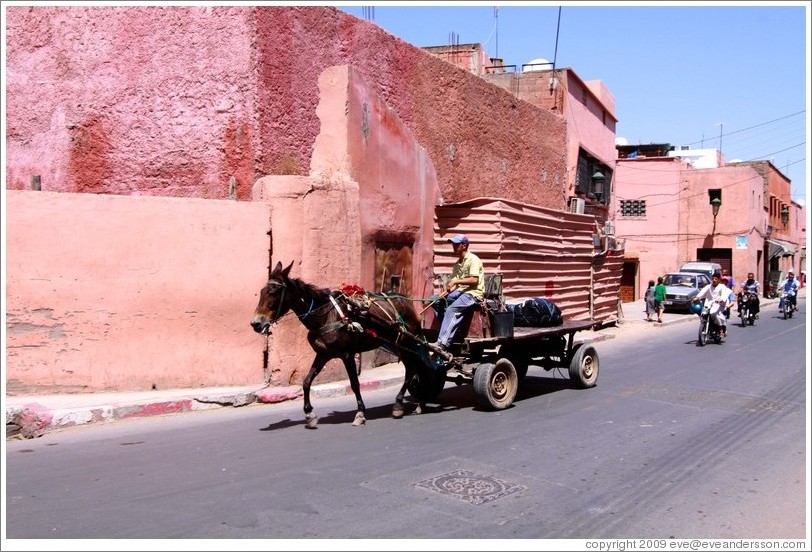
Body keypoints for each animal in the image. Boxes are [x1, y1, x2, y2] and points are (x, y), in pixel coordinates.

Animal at [247, 260, 440, 430]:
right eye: (262, 291)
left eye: (273, 292)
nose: (256, 323)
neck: (325, 316)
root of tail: (405, 299)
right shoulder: (323, 354)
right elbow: (306, 382)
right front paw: (309, 415)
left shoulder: (347, 354)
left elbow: (355, 383)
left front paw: (360, 414)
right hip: (400, 345)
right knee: (414, 368)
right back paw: (417, 403)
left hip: (408, 342)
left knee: (413, 368)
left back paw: (401, 404)